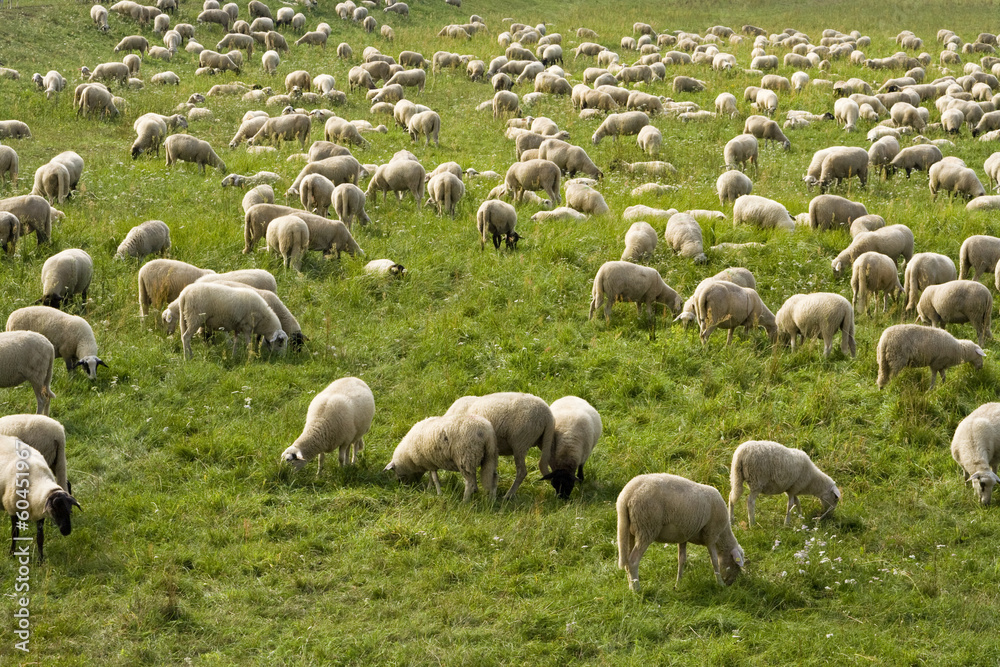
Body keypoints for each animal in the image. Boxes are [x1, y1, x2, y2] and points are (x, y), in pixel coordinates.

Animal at [617, 473, 745, 591]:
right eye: (735, 565)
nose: (730, 583)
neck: (723, 534)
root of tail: (626, 495)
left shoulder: (684, 536)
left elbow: (682, 560)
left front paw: (678, 584)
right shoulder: (711, 535)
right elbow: (714, 560)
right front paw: (720, 583)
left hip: (630, 530)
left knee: (627, 560)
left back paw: (631, 587)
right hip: (646, 527)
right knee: (633, 561)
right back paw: (637, 590)